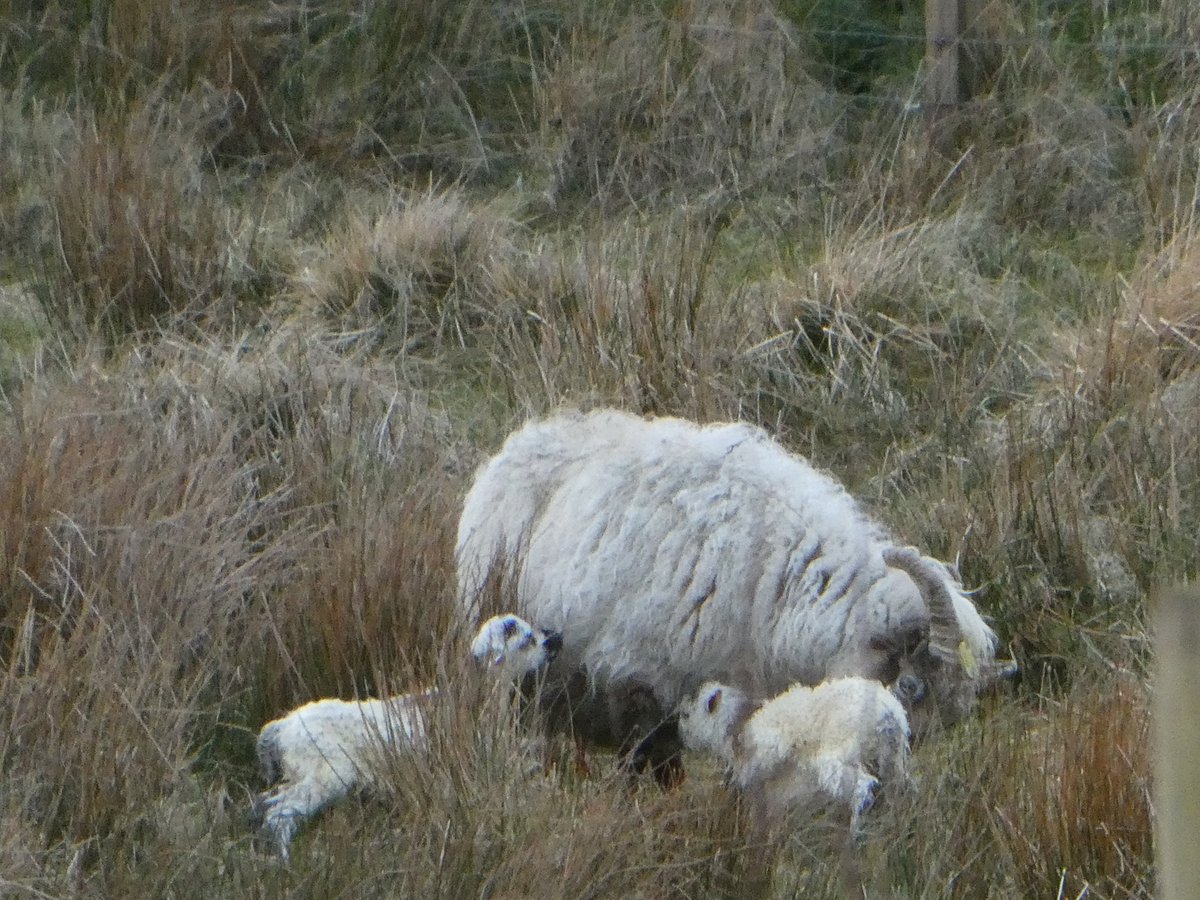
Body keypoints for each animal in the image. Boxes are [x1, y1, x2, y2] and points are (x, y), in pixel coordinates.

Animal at [254, 619, 561, 864]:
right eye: (527, 639)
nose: (556, 639)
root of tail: (282, 726)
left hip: (300, 775)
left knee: (265, 804)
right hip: (326, 775)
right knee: (279, 814)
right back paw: (286, 861)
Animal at [676, 676, 907, 830]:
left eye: (686, 715)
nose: (682, 741)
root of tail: (888, 712)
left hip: (836, 761)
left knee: (862, 789)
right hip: (893, 761)